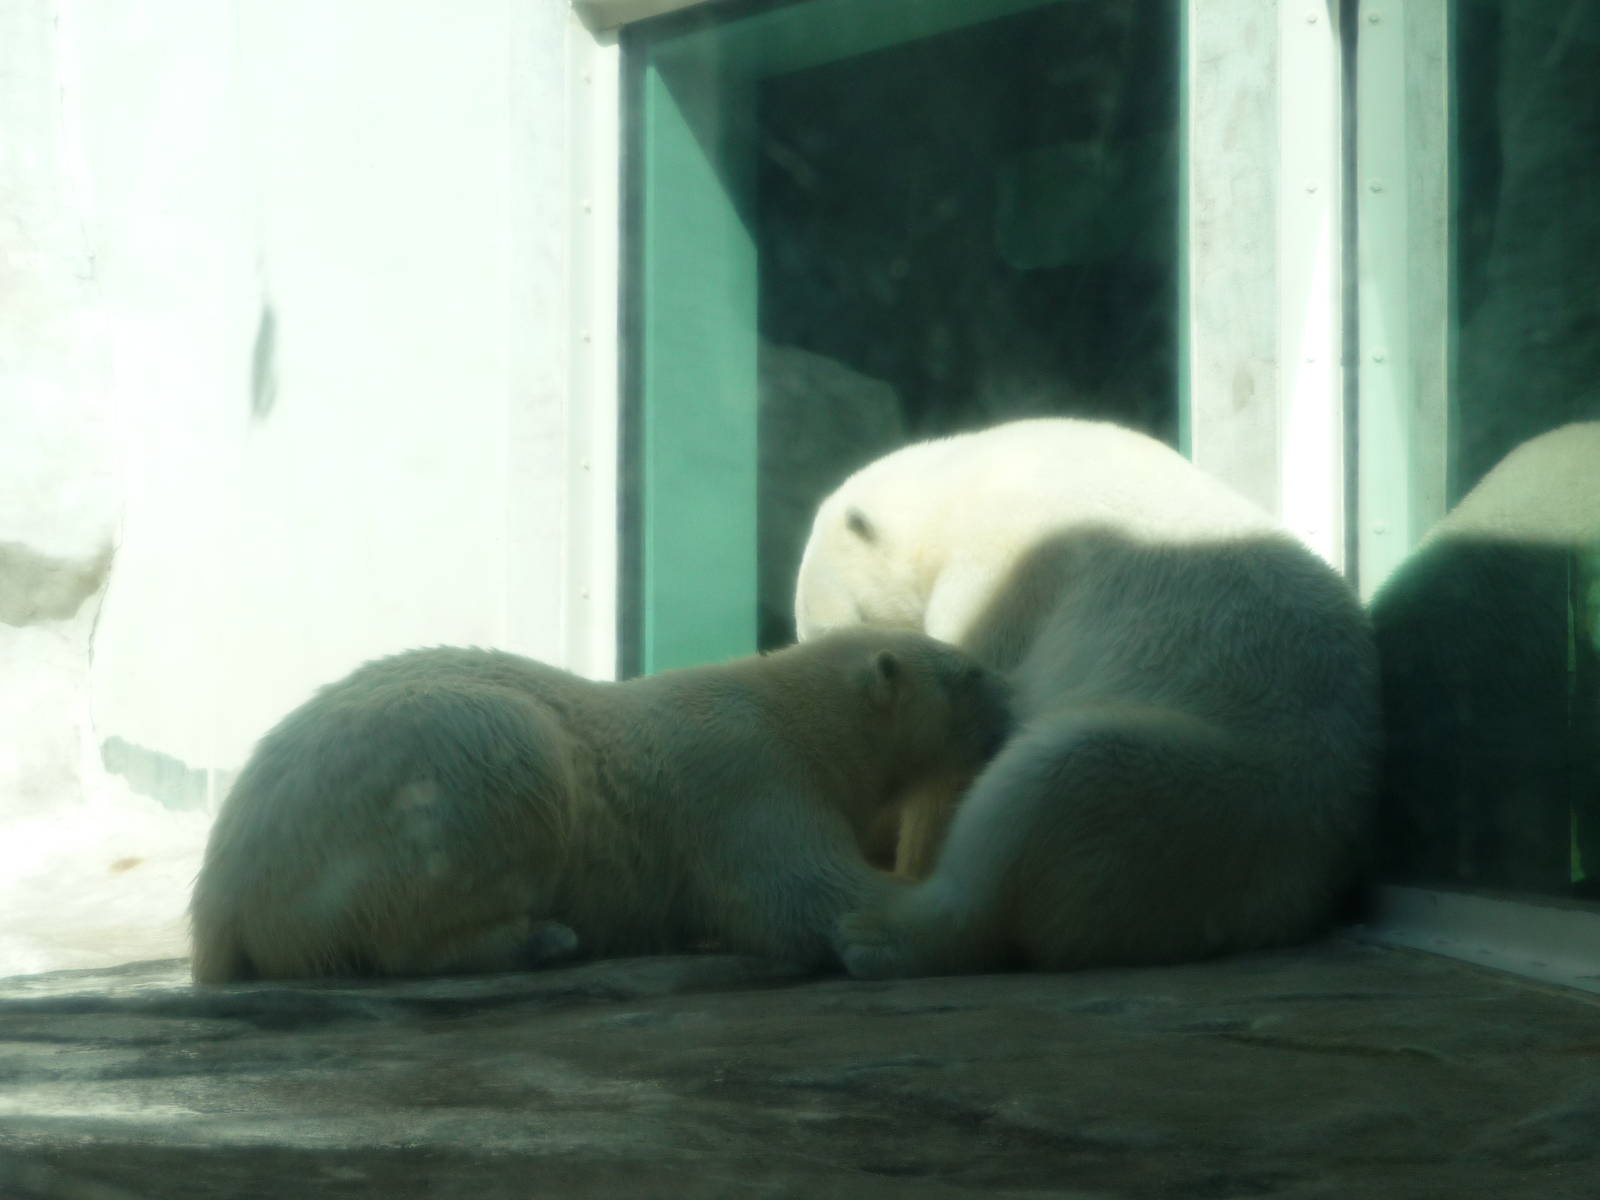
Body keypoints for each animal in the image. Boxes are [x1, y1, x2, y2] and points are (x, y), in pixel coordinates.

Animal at [187, 628, 1011, 983]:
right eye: (967, 672)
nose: (1012, 704)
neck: (796, 713)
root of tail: (219, 895)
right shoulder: (750, 778)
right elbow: (798, 891)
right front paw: (894, 931)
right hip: (415, 783)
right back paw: (539, 940)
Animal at [793, 417, 1381, 977]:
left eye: (826, 630)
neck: (958, 488)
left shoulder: (999, 576)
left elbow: (962, 742)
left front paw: (911, 861)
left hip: (1218, 792)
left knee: (1056, 779)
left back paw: (879, 934)